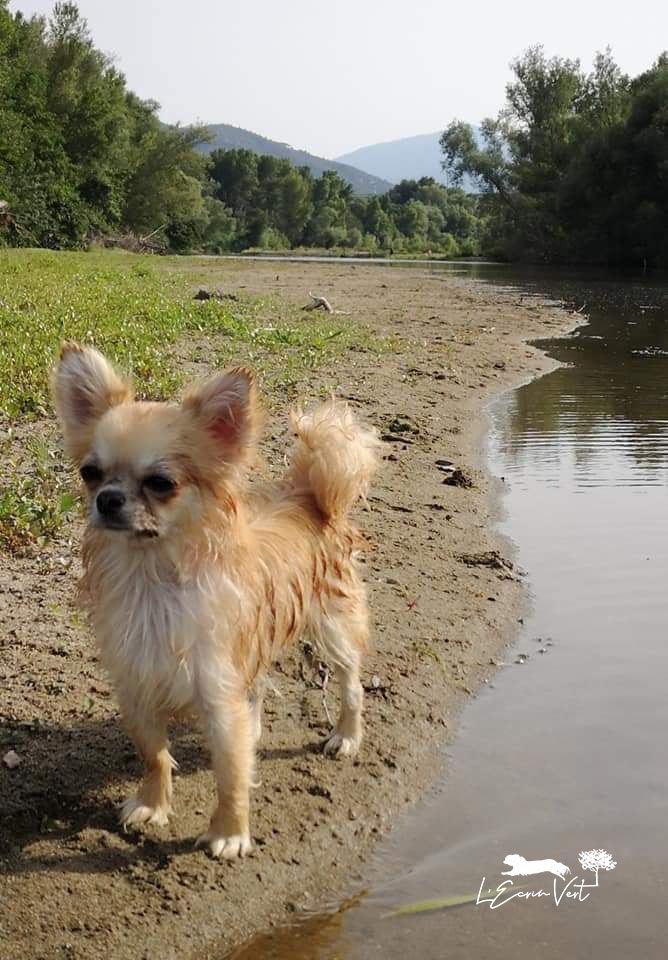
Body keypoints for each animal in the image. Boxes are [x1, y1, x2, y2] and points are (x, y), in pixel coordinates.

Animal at [53, 344, 380, 864]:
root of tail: (309, 496)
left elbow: (230, 776)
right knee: (260, 685)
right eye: (90, 473)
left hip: (335, 626)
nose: (106, 499)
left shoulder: (218, 694)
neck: (155, 578)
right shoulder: (137, 685)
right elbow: (154, 754)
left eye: (161, 483)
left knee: (351, 683)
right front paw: (152, 804)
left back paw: (346, 735)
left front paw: (229, 832)